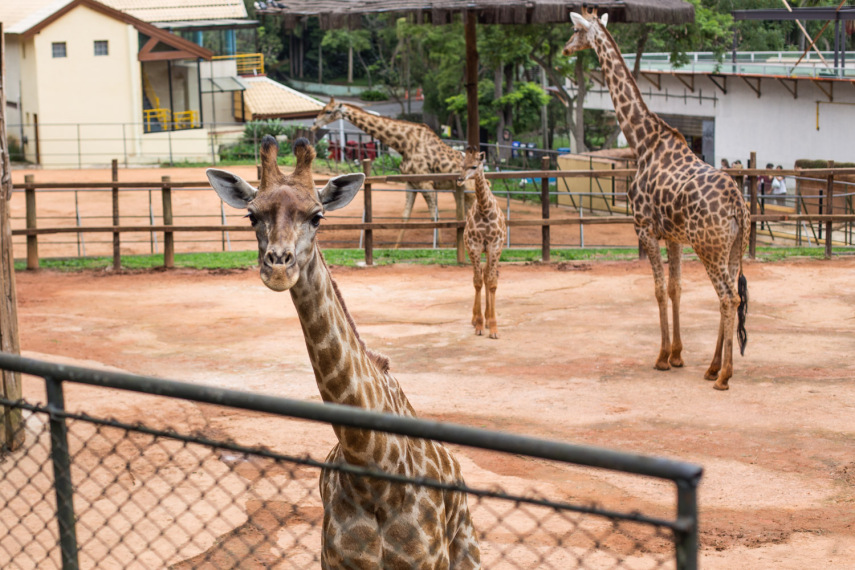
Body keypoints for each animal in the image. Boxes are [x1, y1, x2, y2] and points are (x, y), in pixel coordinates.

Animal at [206, 135, 482, 564]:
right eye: (252, 216)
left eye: (317, 216)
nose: (279, 267)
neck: (370, 462)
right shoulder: (334, 558)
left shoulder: (425, 559)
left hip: (466, 549)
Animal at [310, 96, 472, 246]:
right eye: (323, 108)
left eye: (328, 111)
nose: (313, 125)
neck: (404, 144)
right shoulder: (411, 183)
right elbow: (405, 216)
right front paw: (396, 247)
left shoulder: (425, 183)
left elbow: (434, 216)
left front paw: (438, 247)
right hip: (460, 191)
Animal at [564, 10, 752, 390]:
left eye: (576, 29)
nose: (564, 48)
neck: (642, 140)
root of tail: (738, 206)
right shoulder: (674, 237)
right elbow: (676, 287)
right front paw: (678, 355)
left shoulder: (644, 229)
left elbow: (657, 288)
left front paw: (663, 357)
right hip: (733, 248)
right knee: (732, 296)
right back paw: (712, 367)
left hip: (710, 248)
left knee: (727, 296)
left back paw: (723, 375)